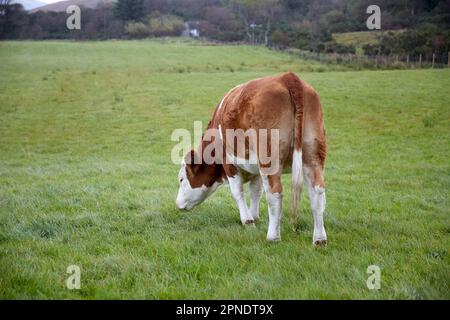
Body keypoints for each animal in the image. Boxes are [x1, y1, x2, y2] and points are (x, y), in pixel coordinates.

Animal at [175, 71, 326, 244]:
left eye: (181, 179)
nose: (177, 204)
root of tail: (287, 77)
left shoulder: (229, 164)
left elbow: (237, 192)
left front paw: (248, 221)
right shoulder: (256, 169)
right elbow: (256, 191)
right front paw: (254, 216)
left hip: (270, 159)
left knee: (275, 194)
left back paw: (273, 237)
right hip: (313, 154)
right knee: (317, 192)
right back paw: (319, 239)